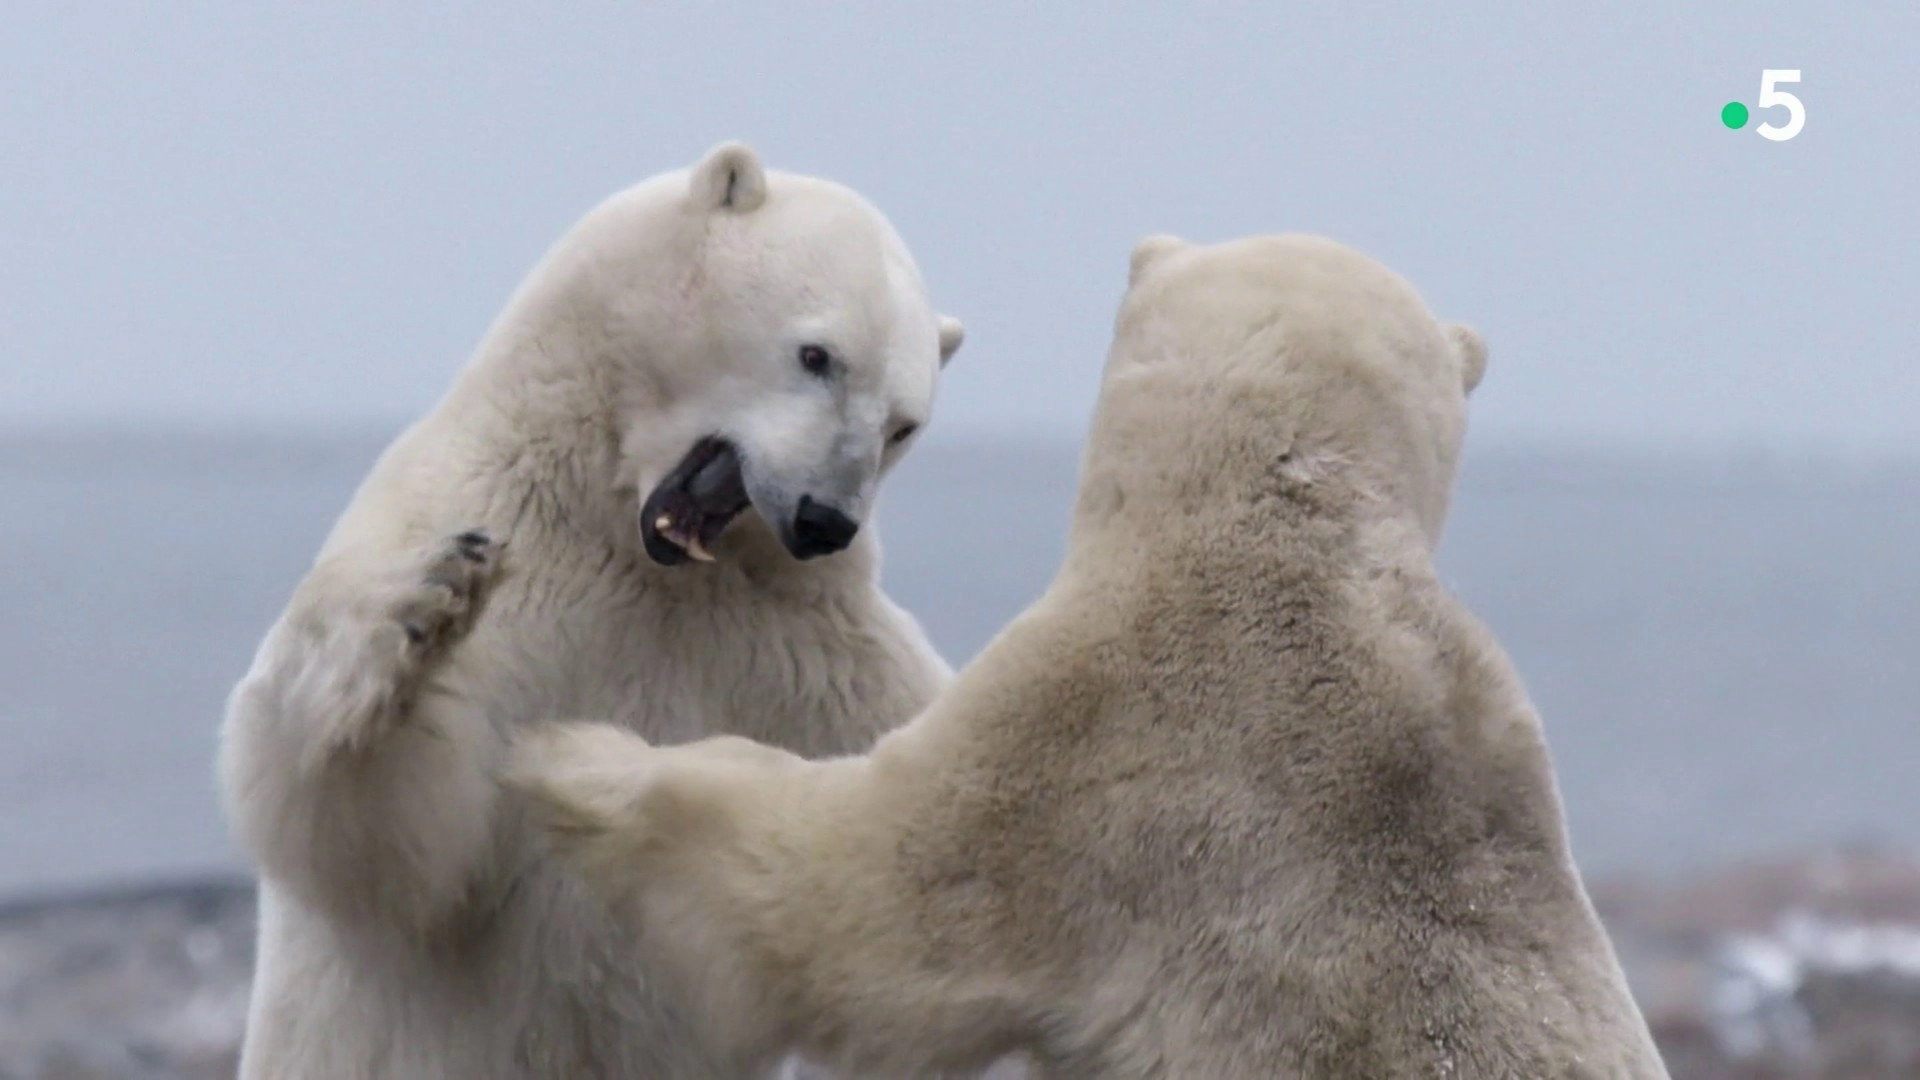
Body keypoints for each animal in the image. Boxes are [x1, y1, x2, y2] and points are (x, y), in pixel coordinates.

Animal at [217, 142, 965, 1079]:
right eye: (817, 355)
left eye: (903, 424)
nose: (824, 519)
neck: (633, 551)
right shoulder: (494, 556)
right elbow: (384, 850)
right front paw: (418, 608)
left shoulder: (810, 650)